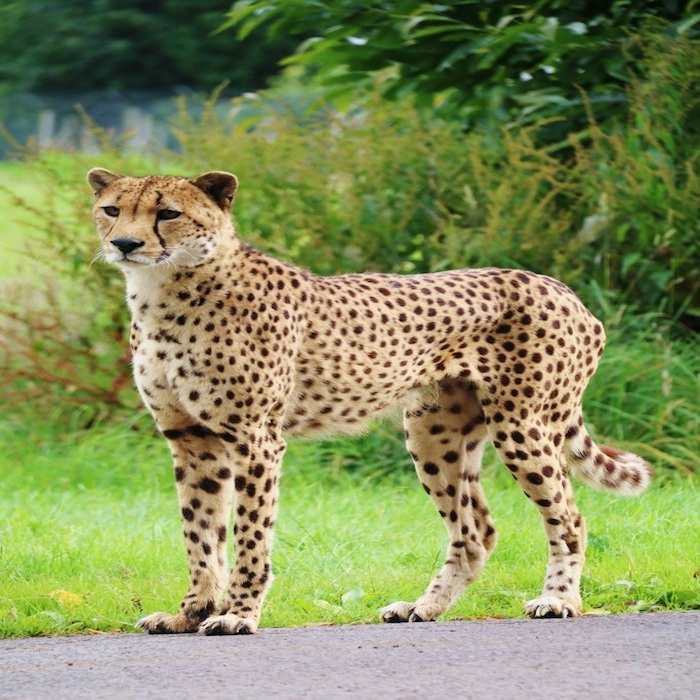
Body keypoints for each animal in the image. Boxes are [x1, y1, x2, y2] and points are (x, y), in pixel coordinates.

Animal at [87, 167, 652, 635]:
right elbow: (200, 535)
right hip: (434, 433)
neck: (163, 290)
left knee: (569, 517)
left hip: (522, 425)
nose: (126, 243)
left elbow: (249, 534)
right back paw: (423, 607)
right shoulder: (191, 439)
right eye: (112, 209)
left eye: (168, 213)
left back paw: (558, 600)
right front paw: (191, 612)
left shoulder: (256, 438)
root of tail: (563, 289)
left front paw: (238, 614)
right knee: (476, 532)